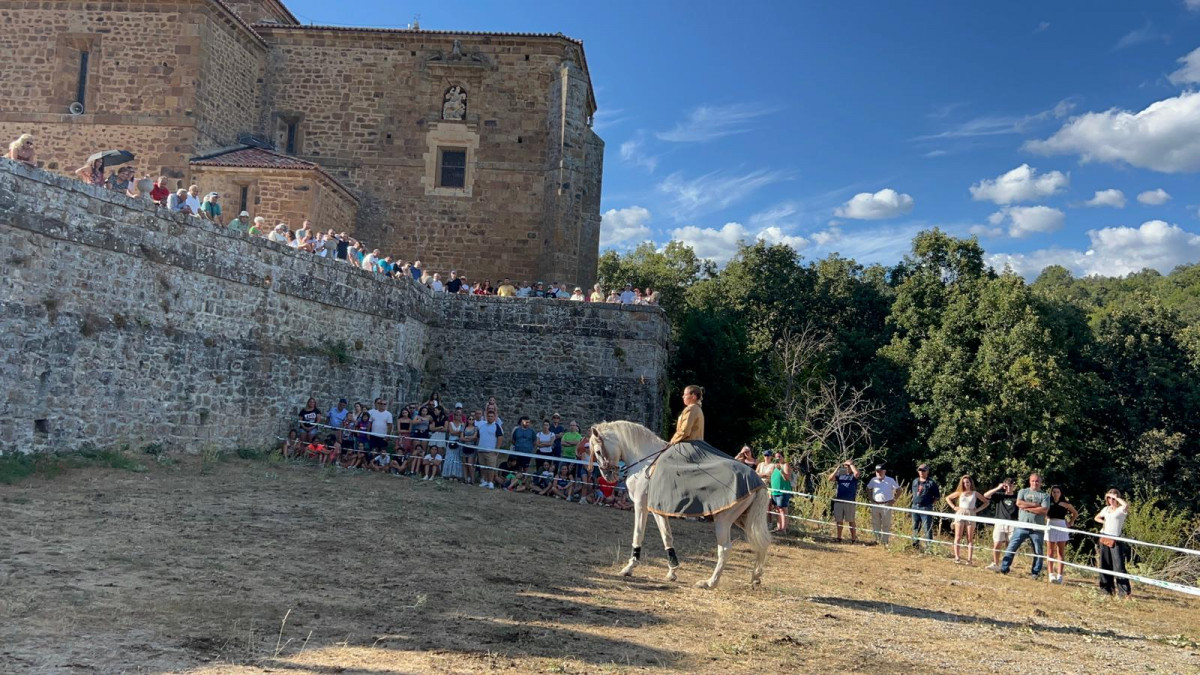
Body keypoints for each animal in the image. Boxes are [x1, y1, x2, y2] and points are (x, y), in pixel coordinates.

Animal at [588, 417, 772, 586]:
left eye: (597, 451)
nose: (608, 476)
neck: (645, 461)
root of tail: (758, 480)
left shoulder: (641, 505)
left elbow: (638, 534)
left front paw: (629, 568)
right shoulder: (657, 510)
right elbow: (667, 537)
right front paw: (672, 571)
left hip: (723, 520)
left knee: (725, 548)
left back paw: (710, 582)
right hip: (743, 519)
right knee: (761, 543)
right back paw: (756, 577)